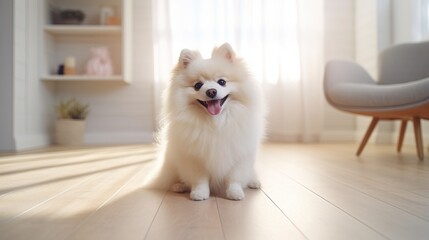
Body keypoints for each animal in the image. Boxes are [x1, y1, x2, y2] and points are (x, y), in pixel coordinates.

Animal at [149, 42, 266, 201]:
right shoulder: (194, 158)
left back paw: (253, 182)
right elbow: (199, 179)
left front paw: (235, 193)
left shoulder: (239, 156)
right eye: (197, 85)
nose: (211, 91)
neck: (216, 123)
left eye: (222, 82)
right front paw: (199, 194)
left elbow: (234, 178)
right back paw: (179, 186)